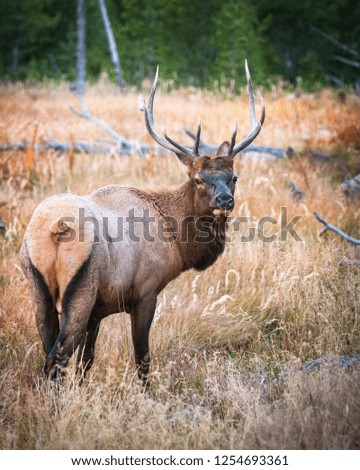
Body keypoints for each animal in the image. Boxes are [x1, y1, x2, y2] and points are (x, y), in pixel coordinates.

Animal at [19, 61, 264, 386]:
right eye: (199, 179)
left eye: (233, 177)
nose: (224, 200)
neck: (177, 244)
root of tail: (54, 229)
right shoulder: (146, 292)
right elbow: (142, 358)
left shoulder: (99, 310)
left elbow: (87, 361)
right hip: (81, 288)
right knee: (56, 358)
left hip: (37, 286)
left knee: (48, 349)